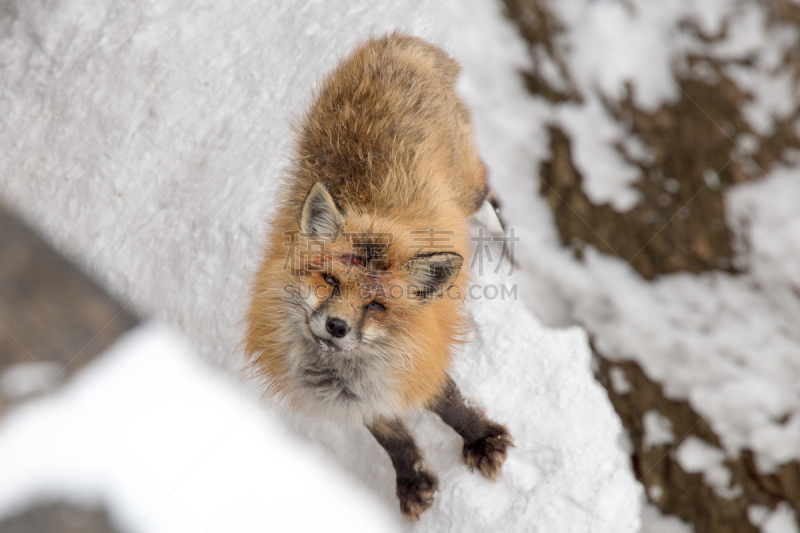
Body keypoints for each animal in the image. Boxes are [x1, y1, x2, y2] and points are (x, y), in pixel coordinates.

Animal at [244, 31, 512, 516]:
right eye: (330, 282)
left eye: (377, 305)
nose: (336, 326)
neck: (343, 372)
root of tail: (395, 41)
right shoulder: (356, 401)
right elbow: (391, 438)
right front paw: (413, 481)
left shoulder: (419, 358)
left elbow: (451, 404)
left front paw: (482, 440)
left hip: (469, 189)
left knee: (497, 186)